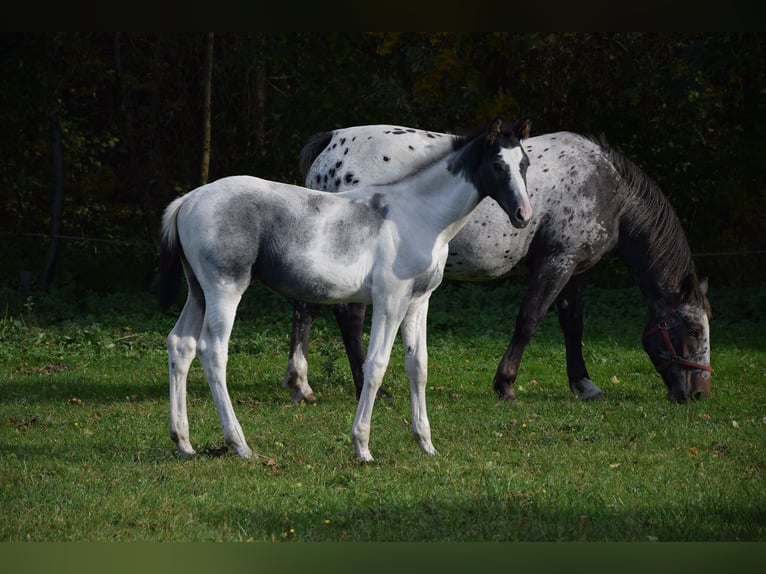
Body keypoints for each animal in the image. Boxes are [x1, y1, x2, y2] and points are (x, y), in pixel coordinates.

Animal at [158, 117, 536, 464]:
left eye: (525, 164)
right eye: (498, 165)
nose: (524, 215)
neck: (419, 215)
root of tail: (188, 200)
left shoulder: (419, 302)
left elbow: (418, 366)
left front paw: (426, 445)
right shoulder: (390, 300)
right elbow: (377, 364)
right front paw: (363, 447)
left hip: (198, 292)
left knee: (181, 344)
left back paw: (184, 442)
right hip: (225, 289)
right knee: (212, 351)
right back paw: (239, 444)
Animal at [282, 126, 712, 404]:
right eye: (692, 329)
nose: (698, 394)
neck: (607, 186)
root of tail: (331, 143)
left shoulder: (573, 269)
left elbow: (572, 324)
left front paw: (583, 385)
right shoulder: (556, 264)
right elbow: (529, 320)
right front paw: (506, 384)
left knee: (306, 308)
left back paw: (301, 385)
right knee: (348, 317)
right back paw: (368, 387)